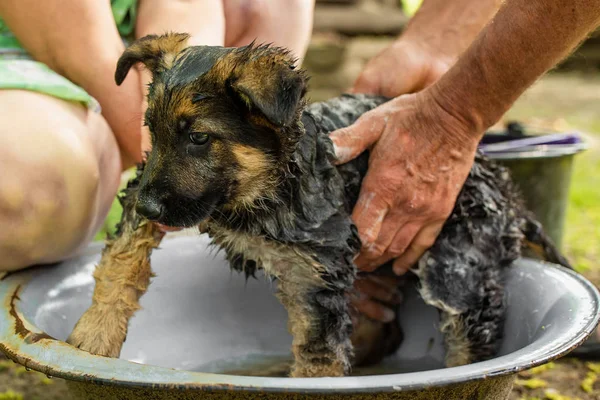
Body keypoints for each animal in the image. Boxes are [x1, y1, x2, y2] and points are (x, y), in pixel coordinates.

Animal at [67, 32, 572, 376]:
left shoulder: (314, 273)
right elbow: (120, 261)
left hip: (456, 270)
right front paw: (94, 335)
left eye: (199, 138)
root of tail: (501, 182)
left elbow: (318, 354)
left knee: (472, 333)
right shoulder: (148, 188)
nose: (151, 208)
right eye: (152, 131)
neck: (260, 191)